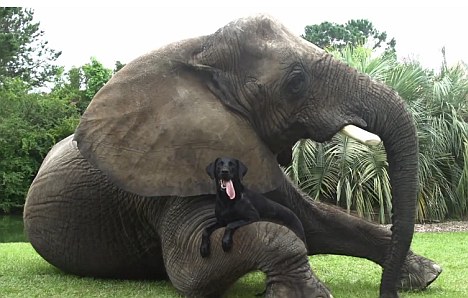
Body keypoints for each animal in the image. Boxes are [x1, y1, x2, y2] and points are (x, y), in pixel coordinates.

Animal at [23, 14, 440, 298]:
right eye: (296, 82)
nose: (388, 292)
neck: (200, 49)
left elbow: (318, 221)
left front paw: (426, 274)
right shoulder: (174, 172)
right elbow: (192, 270)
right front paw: (307, 294)